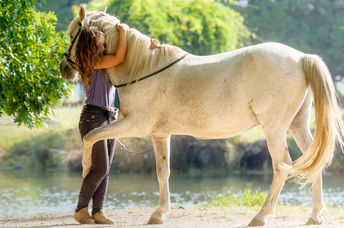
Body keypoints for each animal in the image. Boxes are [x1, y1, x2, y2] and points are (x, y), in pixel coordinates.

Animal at [60, 6, 342, 225]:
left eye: (74, 34)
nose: (64, 68)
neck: (142, 68)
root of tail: (301, 57)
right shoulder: (160, 134)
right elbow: (163, 171)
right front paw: (159, 214)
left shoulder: (134, 126)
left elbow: (91, 137)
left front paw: (85, 168)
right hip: (297, 125)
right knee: (313, 160)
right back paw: (315, 215)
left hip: (274, 128)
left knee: (282, 165)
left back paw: (261, 216)